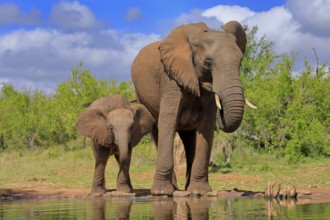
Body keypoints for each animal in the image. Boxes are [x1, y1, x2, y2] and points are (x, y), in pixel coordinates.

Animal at [131, 21, 248, 196]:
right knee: (157, 132)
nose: (221, 109)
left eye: (240, 62)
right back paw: (172, 188)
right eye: (208, 64)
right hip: (142, 98)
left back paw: (186, 188)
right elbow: (168, 123)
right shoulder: (171, 80)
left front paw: (199, 192)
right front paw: (161, 193)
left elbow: (205, 127)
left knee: (189, 139)